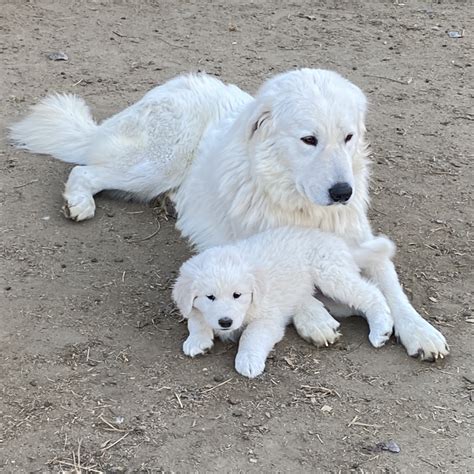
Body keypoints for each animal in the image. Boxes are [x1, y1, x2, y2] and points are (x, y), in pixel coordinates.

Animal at [10, 68, 448, 362]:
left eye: (348, 137)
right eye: (309, 139)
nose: (343, 192)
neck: (298, 204)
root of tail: (177, 82)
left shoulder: (361, 241)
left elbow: (393, 288)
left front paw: (420, 331)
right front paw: (315, 317)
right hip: (155, 166)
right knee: (84, 169)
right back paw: (79, 203)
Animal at [174, 228, 396, 380]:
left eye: (237, 295)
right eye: (210, 297)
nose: (225, 322)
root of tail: (339, 243)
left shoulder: (268, 318)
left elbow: (251, 334)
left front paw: (248, 360)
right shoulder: (197, 308)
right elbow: (196, 319)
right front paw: (197, 340)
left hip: (331, 275)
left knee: (371, 293)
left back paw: (381, 329)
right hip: (334, 298)